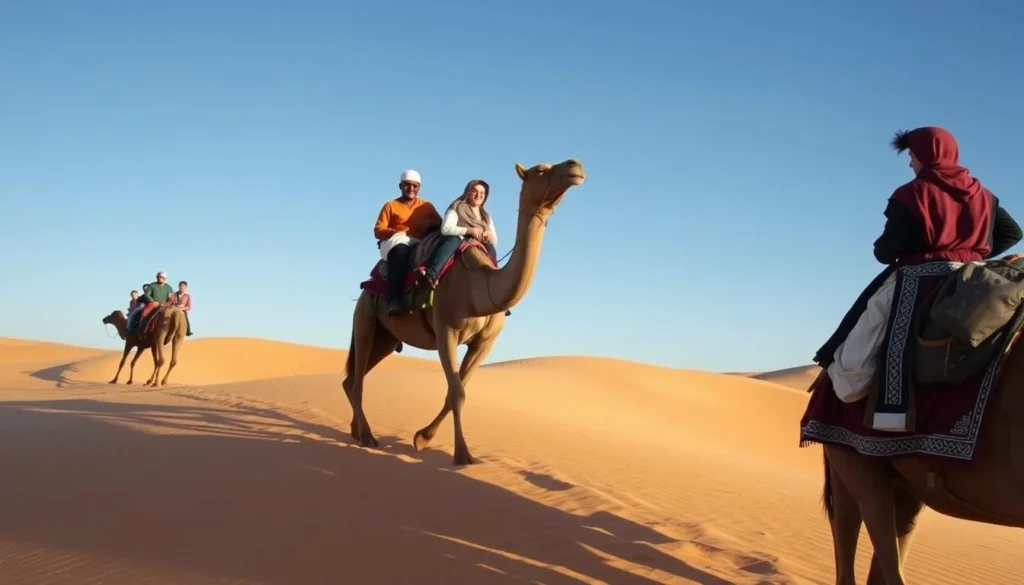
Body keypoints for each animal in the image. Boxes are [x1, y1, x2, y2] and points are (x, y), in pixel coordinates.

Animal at [341, 158, 586, 466]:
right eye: (540, 170)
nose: (574, 166)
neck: (480, 287)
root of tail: (366, 286)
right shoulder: (446, 330)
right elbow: (457, 392)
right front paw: (462, 454)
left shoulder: (485, 342)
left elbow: (457, 390)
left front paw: (423, 438)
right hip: (364, 321)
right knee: (357, 380)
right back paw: (369, 437)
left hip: (385, 339)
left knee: (353, 379)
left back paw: (357, 433)